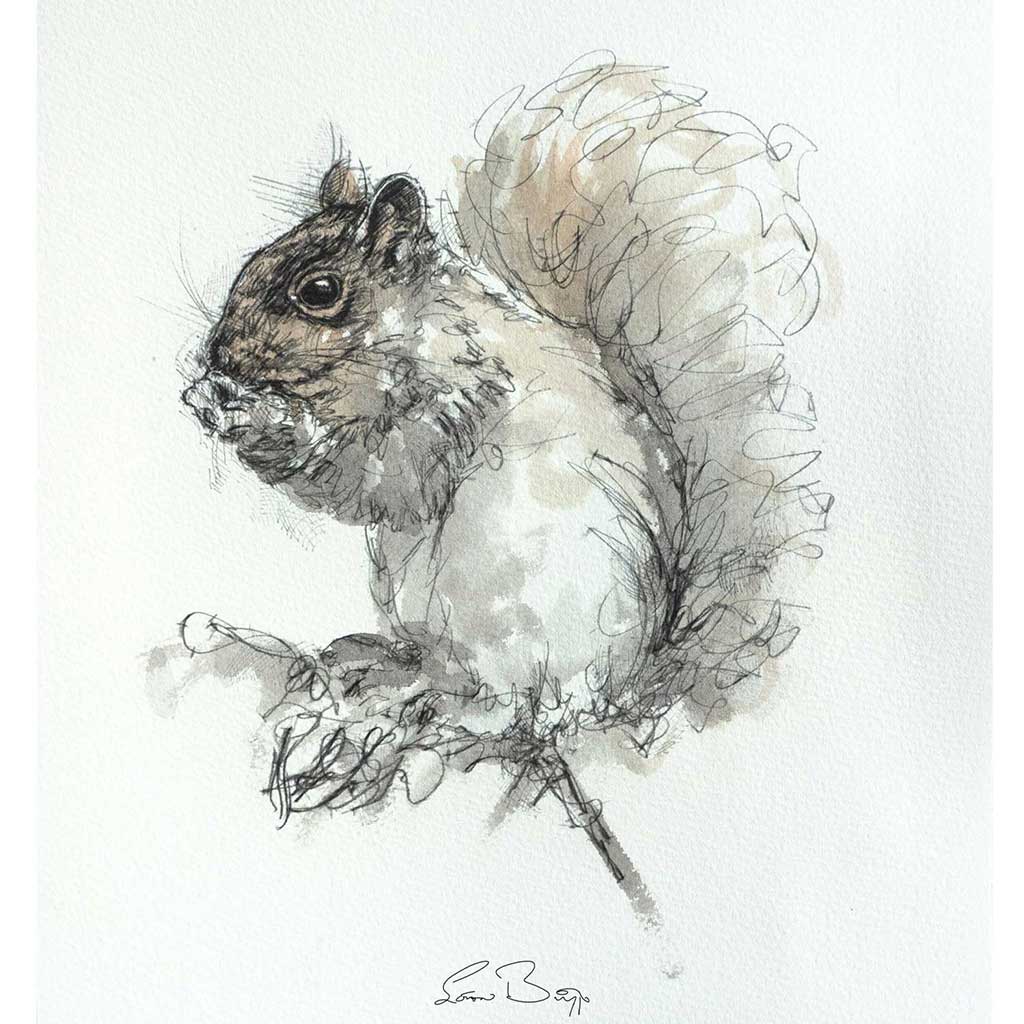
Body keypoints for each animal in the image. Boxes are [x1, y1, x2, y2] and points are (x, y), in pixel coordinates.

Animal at [182, 53, 831, 755]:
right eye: (256, 260)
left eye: (320, 291)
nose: (219, 355)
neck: (414, 330)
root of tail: (621, 684)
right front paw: (209, 397)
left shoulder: (450, 405)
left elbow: (378, 479)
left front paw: (253, 420)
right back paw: (381, 662)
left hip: (499, 613)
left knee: (516, 708)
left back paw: (442, 709)